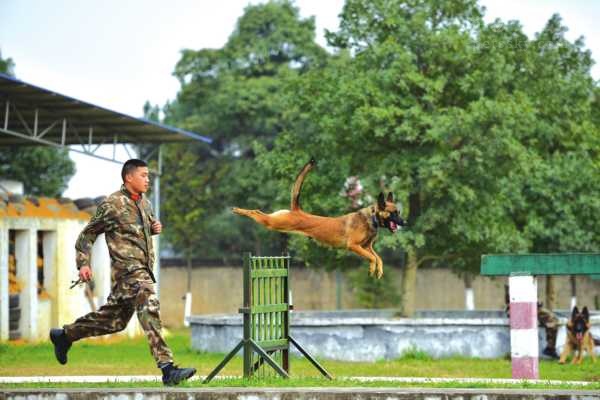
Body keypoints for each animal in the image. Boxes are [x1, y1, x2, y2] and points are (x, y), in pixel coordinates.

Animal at [232, 159, 406, 278]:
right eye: (394, 213)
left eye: (398, 212)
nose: (404, 222)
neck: (372, 218)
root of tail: (297, 210)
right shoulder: (354, 246)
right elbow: (372, 258)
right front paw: (372, 268)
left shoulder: (367, 247)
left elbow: (378, 258)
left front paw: (378, 270)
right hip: (275, 223)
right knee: (257, 212)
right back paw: (239, 210)